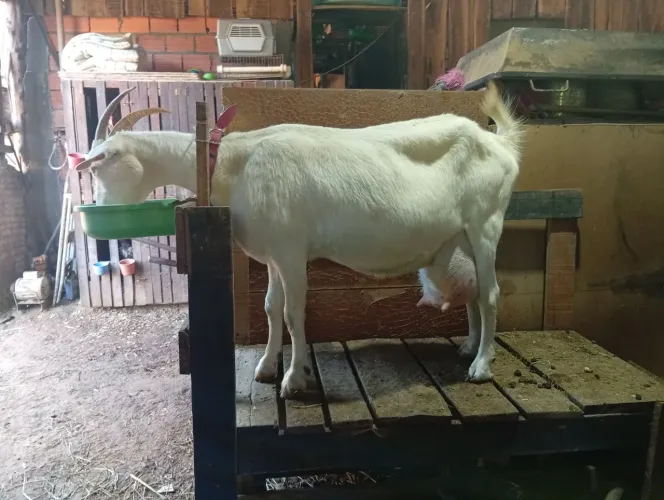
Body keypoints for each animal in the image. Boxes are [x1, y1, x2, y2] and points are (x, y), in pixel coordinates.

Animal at [75, 83, 523, 399]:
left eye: (97, 167)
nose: (96, 213)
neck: (233, 162)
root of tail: (500, 144)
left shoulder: (292, 251)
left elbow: (293, 313)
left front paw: (294, 379)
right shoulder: (273, 253)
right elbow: (271, 308)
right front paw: (267, 368)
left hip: (486, 222)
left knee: (492, 293)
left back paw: (482, 367)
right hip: (462, 234)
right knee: (474, 293)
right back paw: (469, 346)